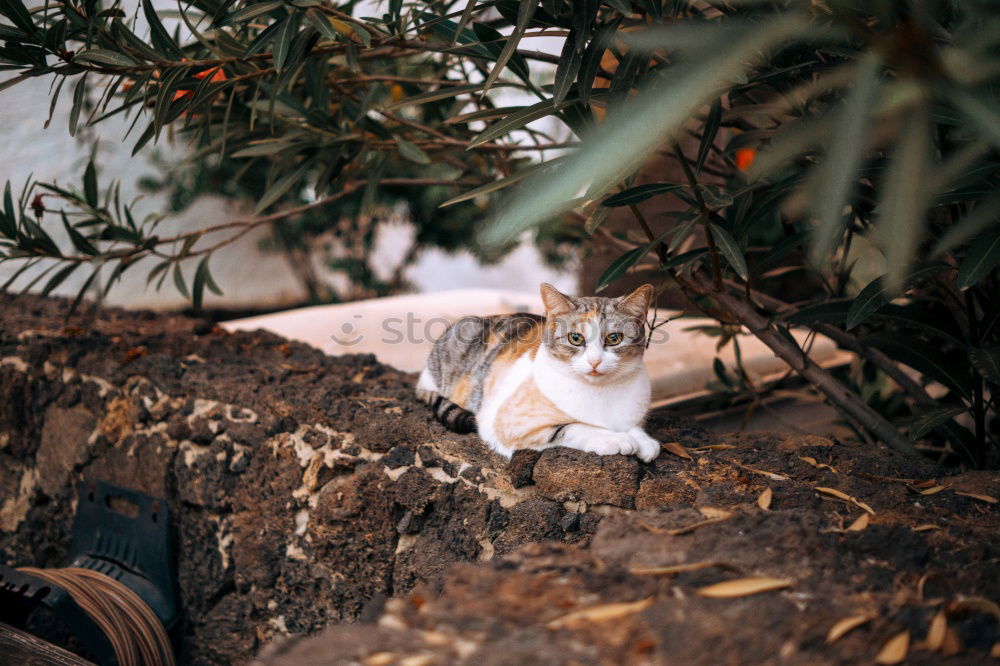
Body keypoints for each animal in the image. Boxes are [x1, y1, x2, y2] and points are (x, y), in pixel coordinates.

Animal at [416, 282, 664, 462]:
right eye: (575, 338)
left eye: (614, 338)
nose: (594, 362)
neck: (602, 392)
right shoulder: (509, 424)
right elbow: (573, 427)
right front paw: (614, 439)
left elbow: (633, 426)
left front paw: (643, 440)